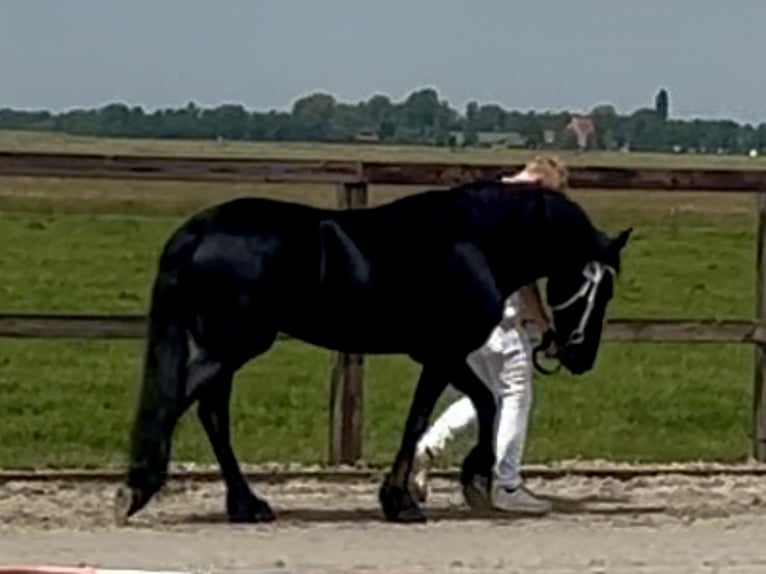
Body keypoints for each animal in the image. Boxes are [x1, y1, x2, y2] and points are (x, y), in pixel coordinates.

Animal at [113, 178, 632, 525]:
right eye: (600, 289)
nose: (580, 356)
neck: (476, 239)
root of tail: (199, 230)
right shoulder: (442, 353)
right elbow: (425, 417)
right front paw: (405, 499)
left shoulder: (442, 353)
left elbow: (478, 405)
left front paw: (465, 480)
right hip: (230, 345)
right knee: (182, 405)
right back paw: (138, 491)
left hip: (224, 348)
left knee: (210, 413)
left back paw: (246, 505)